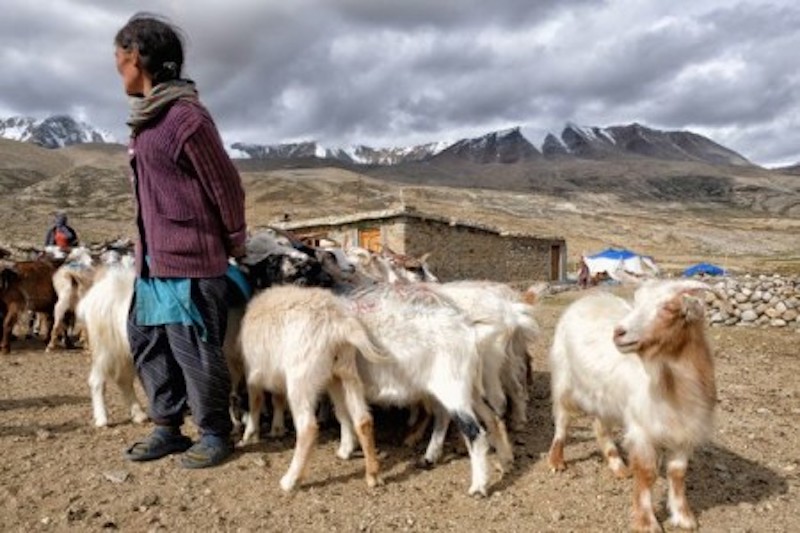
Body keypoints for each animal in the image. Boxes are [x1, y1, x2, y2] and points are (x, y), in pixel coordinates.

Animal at [547, 280, 716, 532]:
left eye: (669, 308)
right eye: (637, 303)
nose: (618, 332)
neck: (670, 386)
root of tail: (590, 297)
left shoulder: (685, 430)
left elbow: (677, 473)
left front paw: (684, 517)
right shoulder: (642, 429)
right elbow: (647, 473)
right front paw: (646, 522)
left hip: (603, 396)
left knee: (600, 427)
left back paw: (618, 466)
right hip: (564, 379)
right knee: (562, 420)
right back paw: (556, 461)